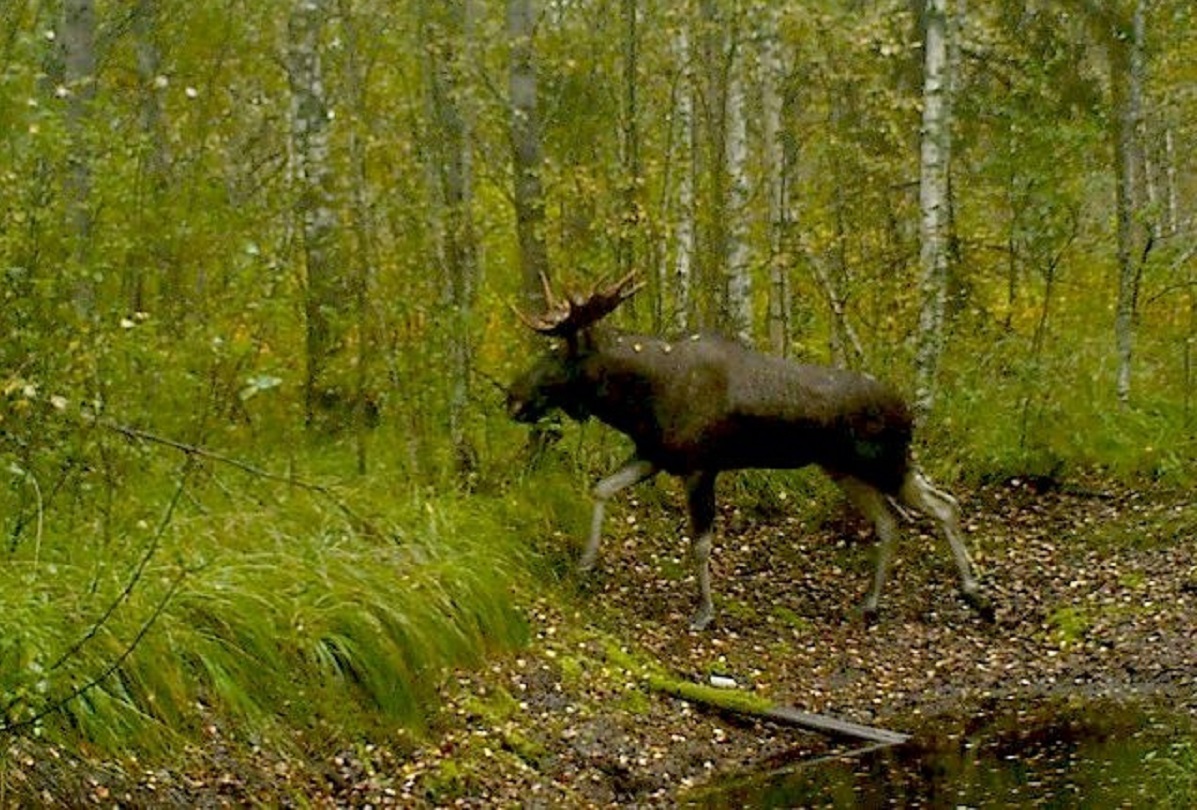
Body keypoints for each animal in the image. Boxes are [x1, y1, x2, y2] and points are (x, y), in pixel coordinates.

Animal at [505, 272, 981, 631]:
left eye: (557, 355)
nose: (512, 397)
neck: (638, 398)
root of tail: (909, 412)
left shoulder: (700, 466)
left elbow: (700, 544)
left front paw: (704, 612)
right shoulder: (654, 455)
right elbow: (601, 489)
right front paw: (585, 565)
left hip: (885, 462)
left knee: (942, 505)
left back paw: (974, 592)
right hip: (845, 469)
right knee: (892, 520)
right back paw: (870, 603)